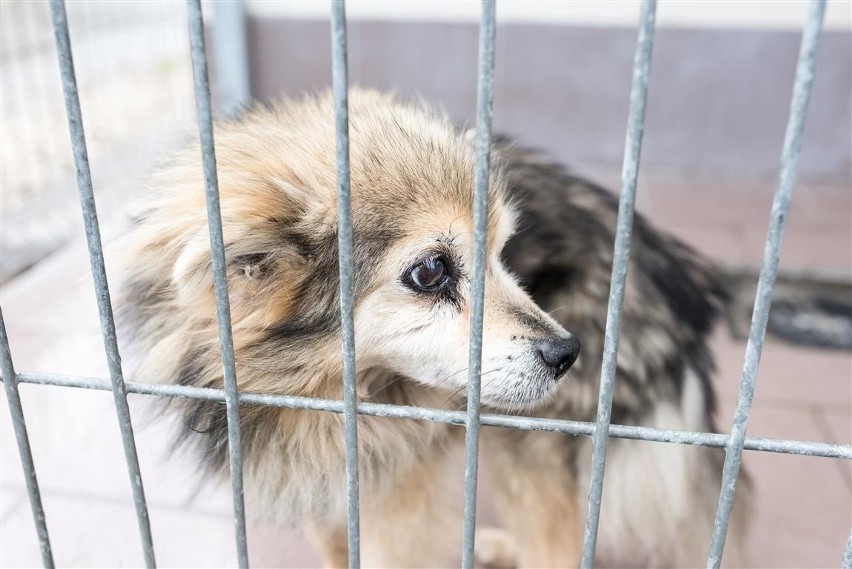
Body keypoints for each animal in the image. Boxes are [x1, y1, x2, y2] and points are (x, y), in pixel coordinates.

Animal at [116, 89, 748, 564]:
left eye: (503, 253)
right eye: (430, 271)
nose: (567, 353)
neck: (312, 401)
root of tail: (684, 281)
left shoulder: (401, 502)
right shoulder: (322, 492)